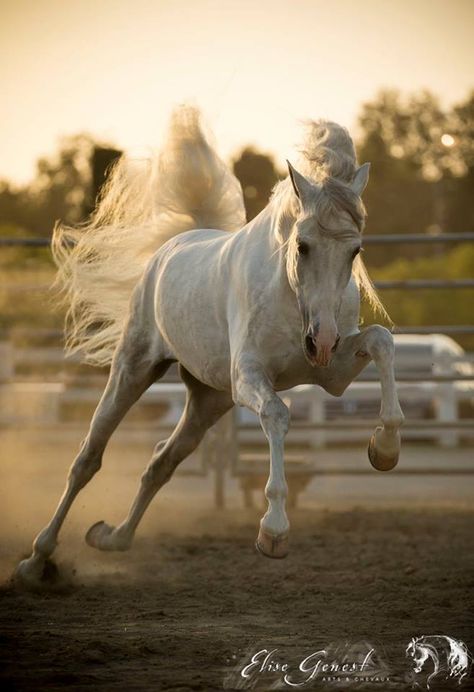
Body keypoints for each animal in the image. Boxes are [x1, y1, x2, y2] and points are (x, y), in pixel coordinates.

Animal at [14, 105, 404, 588]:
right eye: (303, 245)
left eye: (355, 251)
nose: (323, 339)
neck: (288, 296)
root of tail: (172, 247)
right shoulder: (249, 377)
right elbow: (278, 415)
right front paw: (273, 531)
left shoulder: (330, 373)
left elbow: (382, 341)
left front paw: (384, 450)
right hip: (133, 369)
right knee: (87, 458)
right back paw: (36, 561)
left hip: (208, 399)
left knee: (161, 461)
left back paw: (111, 537)